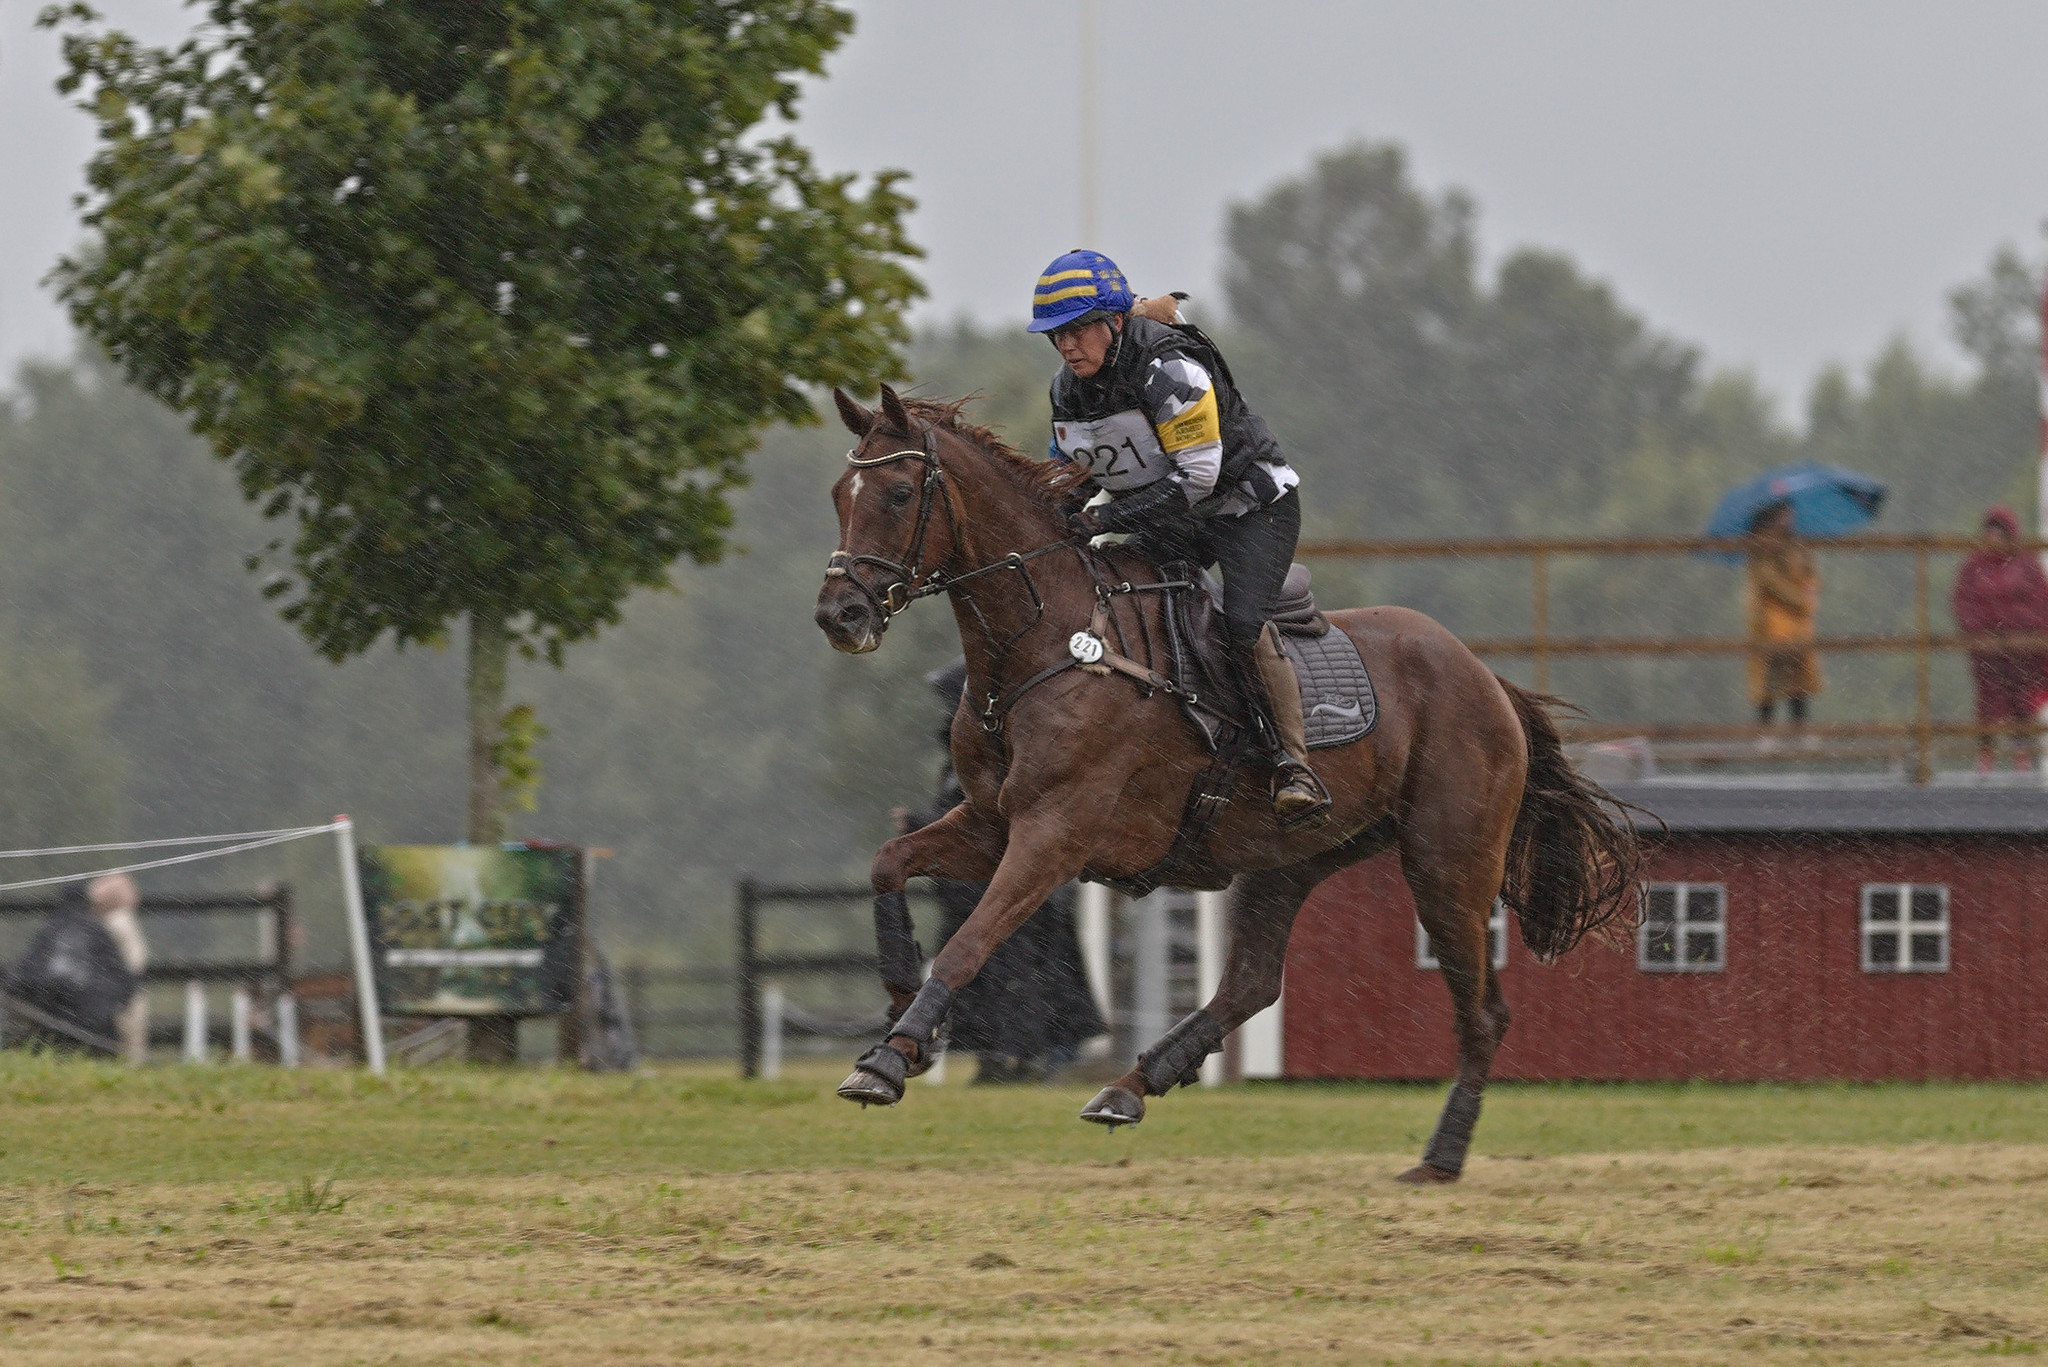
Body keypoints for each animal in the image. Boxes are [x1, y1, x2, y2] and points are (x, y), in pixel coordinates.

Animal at [806, 387, 1638, 1188]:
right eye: (840, 494)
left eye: (900, 492)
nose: (839, 615)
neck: (1050, 642)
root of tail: (1488, 680)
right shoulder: (992, 823)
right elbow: (888, 863)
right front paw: (900, 1006)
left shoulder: (1055, 833)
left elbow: (970, 942)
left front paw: (890, 1058)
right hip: (1290, 859)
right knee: (1251, 982)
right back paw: (1131, 1086)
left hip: (1447, 864)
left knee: (1482, 1011)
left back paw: (1441, 1155)